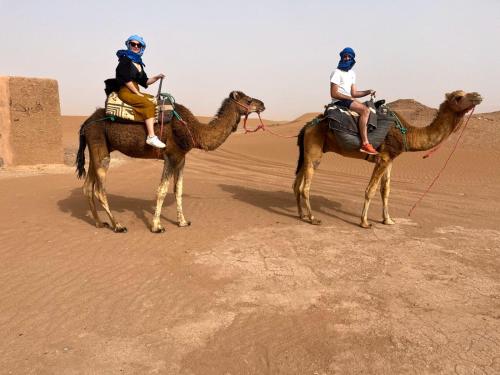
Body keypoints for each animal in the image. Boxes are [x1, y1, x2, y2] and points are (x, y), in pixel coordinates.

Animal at [76, 91, 266, 232]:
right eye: (249, 100)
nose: (263, 104)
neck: (193, 131)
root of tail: (85, 123)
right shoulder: (171, 155)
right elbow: (162, 190)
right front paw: (157, 226)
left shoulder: (181, 158)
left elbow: (178, 190)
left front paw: (183, 222)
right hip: (99, 145)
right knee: (99, 189)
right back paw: (118, 225)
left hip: (97, 149)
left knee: (87, 186)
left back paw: (99, 223)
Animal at [292, 89, 480, 228]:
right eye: (458, 97)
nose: (478, 96)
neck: (408, 134)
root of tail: (307, 126)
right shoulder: (383, 157)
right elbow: (371, 190)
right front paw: (365, 222)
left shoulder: (390, 159)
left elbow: (386, 190)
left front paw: (388, 220)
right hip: (314, 150)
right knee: (305, 187)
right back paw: (313, 218)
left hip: (307, 152)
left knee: (296, 184)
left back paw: (301, 215)